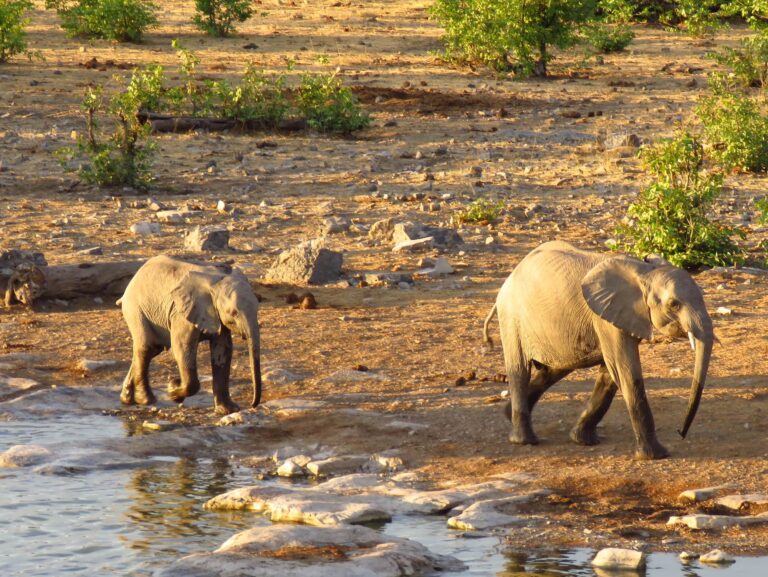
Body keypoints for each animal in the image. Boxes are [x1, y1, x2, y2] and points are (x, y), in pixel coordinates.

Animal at [117, 255, 264, 414]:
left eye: (258, 308)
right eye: (234, 313)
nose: (252, 405)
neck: (215, 283)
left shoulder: (215, 315)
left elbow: (223, 351)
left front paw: (228, 410)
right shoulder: (181, 313)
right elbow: (182, 348)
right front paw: (172, 390)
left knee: (153, 349)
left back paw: (126, 399)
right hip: (136, 309)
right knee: (147, 347)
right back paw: (146, 400)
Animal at [486, 241, 712, 462]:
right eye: (674, 304)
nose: (680, 432)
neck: (645, 272)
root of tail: (510, 277)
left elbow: (611, 373)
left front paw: (582, 440)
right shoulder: (606, 318)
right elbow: (625, 372)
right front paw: (655, 456)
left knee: (557, 367)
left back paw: (508, 414)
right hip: (511, 317)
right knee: (520, 370)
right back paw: (525, 441)